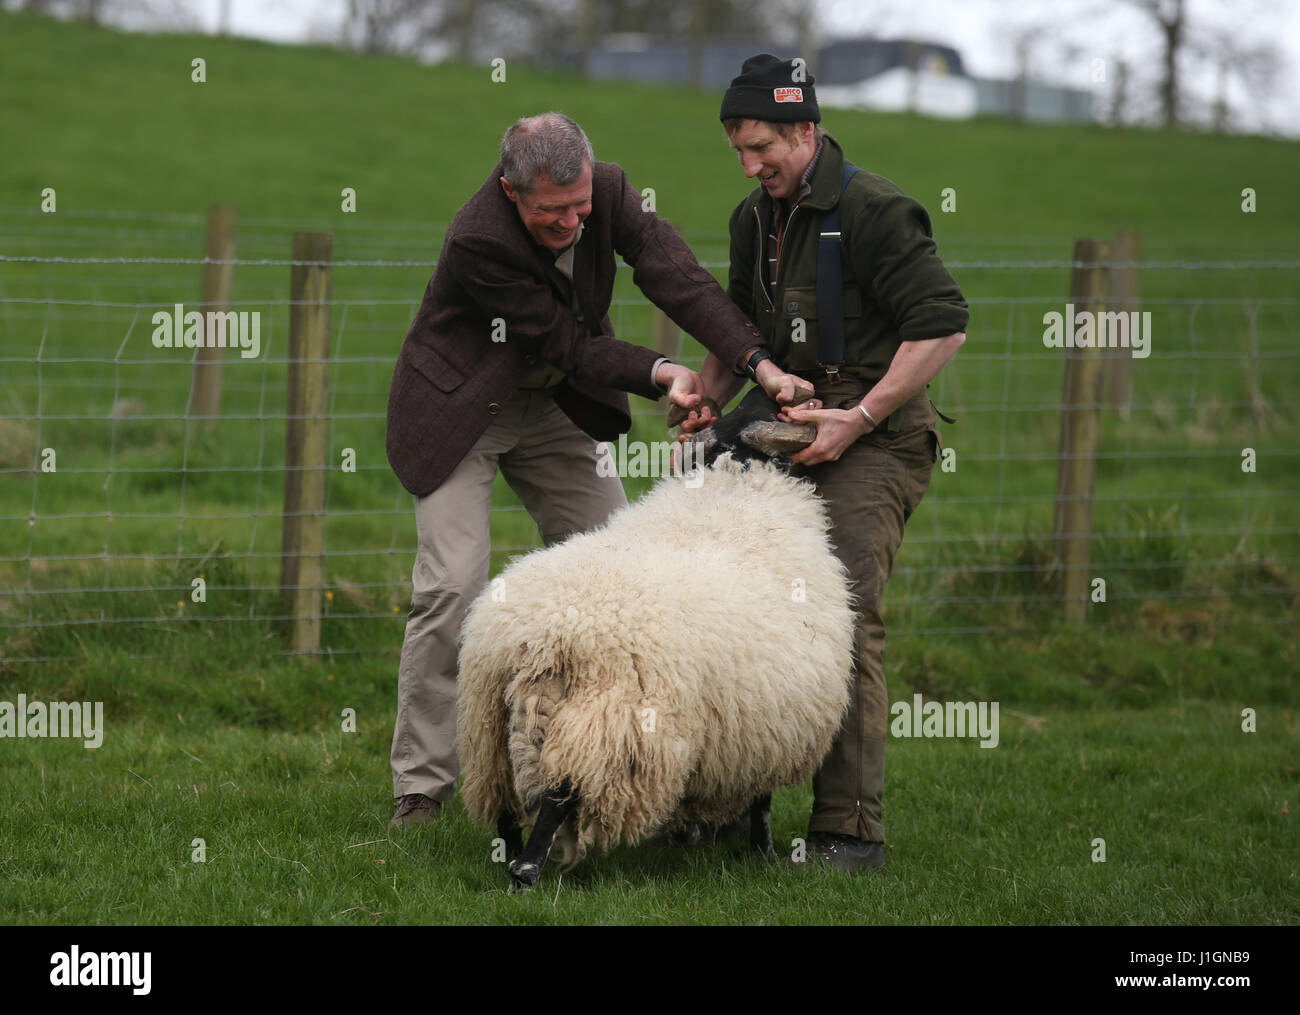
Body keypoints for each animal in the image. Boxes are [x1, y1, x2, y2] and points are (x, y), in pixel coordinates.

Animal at [452, 397, 857, 888]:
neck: (733, 487)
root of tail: (537, 637)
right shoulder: (771, 727)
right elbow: (761, 803)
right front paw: (766, 856)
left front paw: (691, 837)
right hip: (600, 719)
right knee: (558, 795)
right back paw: (526, 873)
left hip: (488, 725)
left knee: (503, 800)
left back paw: (508, 856)